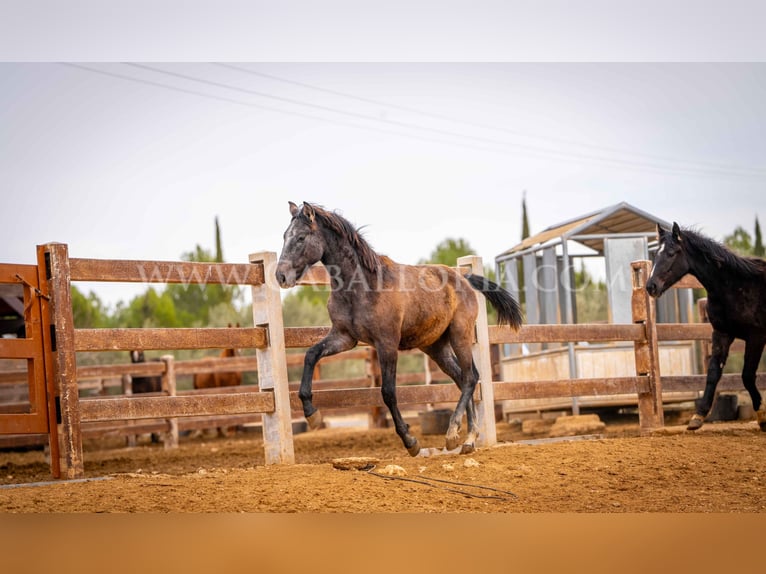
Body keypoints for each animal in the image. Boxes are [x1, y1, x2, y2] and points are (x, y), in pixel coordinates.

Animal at [276, 202, 520, 460]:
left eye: (301, 237)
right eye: (285, 236)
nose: (280, 276)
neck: (362, 287)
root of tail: (464, 278)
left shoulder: (387, 344)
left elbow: (388, 392)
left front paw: (411, 442)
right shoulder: (344, 338)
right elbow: (311, 354)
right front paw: (312, 415)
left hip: (460, 335)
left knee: (471, 377)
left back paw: (454, 434)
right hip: (436, 347)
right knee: (462, 378)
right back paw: (467, 441)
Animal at [648, 224, 766, 432]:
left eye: (671, 253)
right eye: (655, 255)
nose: (650, 286)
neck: (736, 287)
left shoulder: (756, 338)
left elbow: (747, 376)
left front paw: (762, 416)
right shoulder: (722, 334)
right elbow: (713, 374)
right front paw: (698, 416)